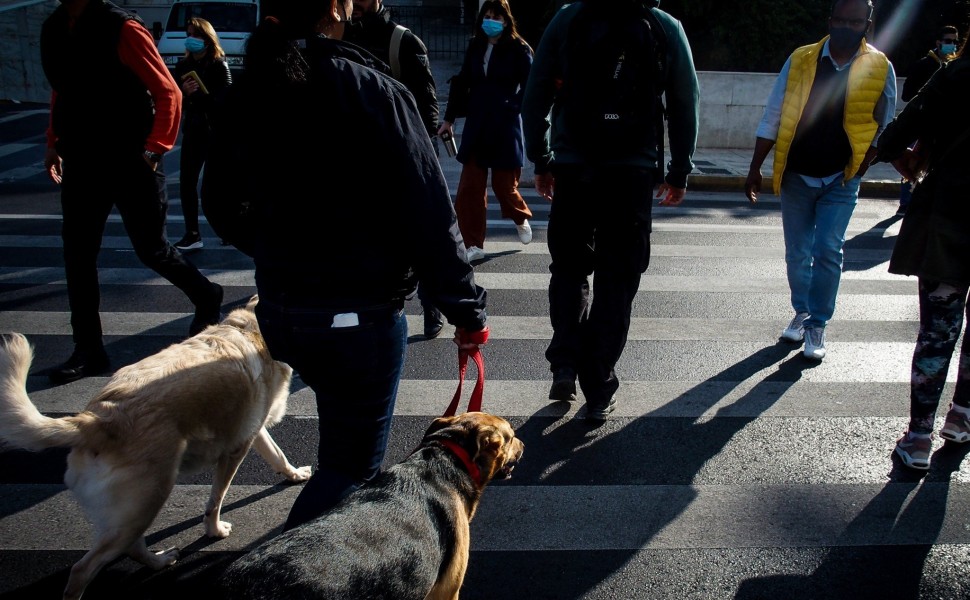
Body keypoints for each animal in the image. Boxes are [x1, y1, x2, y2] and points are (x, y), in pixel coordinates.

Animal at [0, 296, 308, 600]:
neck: (251, 330)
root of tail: (97, 419)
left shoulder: (253, 431)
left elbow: (277, 454)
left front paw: (294, 475)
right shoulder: (236, 448)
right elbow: (215, 499)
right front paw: (214, 530)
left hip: (135, 508)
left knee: (131, 548)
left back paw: (159, 561)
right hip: (147, 498)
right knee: (82, 569)